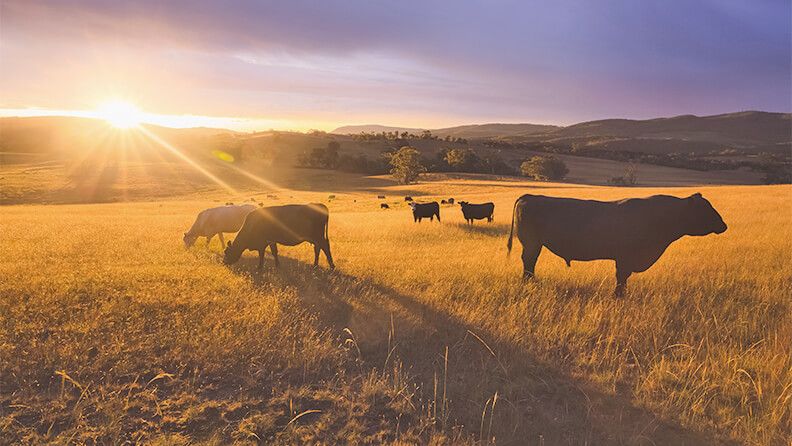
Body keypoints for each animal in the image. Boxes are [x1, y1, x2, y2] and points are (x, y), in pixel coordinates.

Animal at [510, 193, 728, 294]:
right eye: (704, 209)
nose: (724, 225)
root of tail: (530, 196)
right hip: (532, 244)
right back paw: (528, 282)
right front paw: (619, 295)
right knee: (529, 262)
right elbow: (621, 278)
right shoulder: (625, 259)